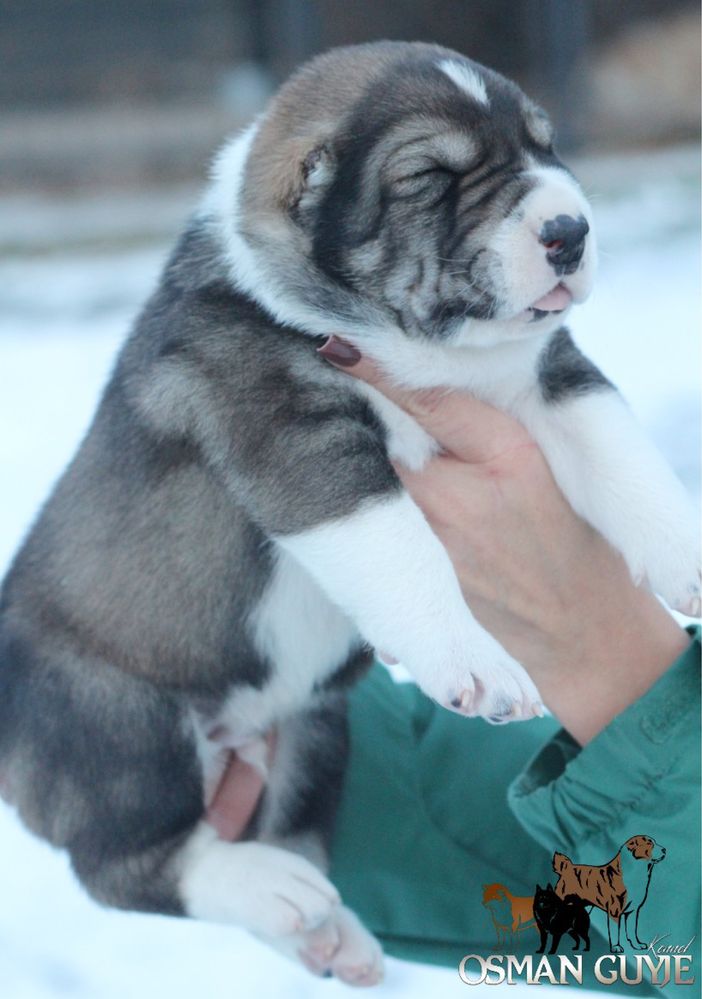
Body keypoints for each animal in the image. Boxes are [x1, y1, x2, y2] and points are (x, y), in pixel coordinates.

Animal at [0, 43, 700, 988]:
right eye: (429, 177)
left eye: (545, 147)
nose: (570, 231)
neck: (424, 347)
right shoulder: (300, 434)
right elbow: (398, 543)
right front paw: (476, 662)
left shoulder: (557, 377)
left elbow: (628, 461)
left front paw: (690, 556)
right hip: (115, 722)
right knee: (124, 863)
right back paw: (269, 888)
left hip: (317, 731)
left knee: (279, 828)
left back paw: (326, 931)